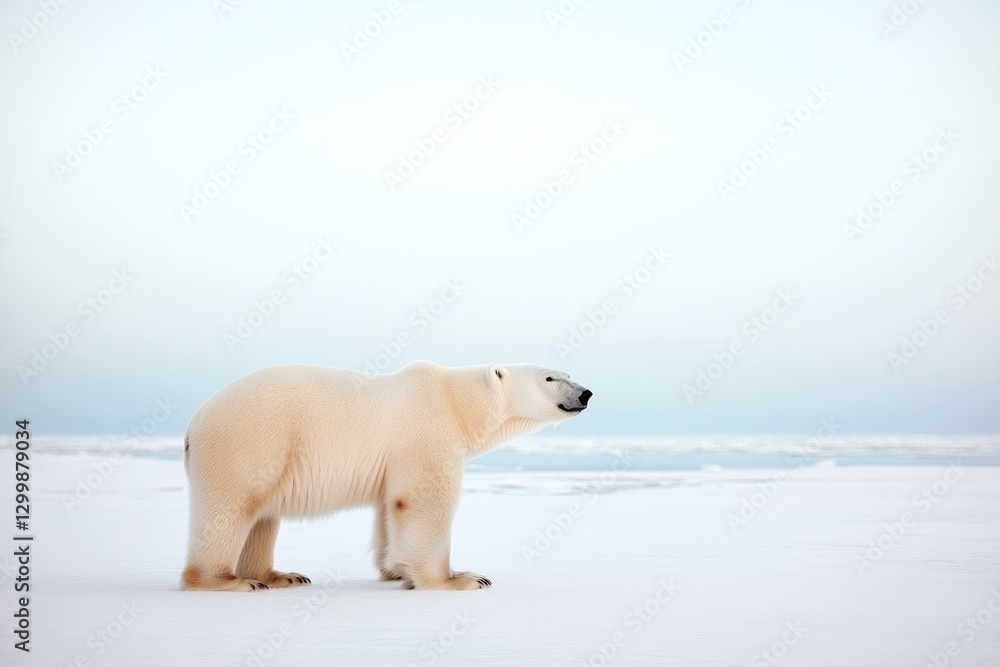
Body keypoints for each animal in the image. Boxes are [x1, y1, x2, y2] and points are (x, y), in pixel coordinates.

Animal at [181, 361, 592, 592]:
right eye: (549, 378)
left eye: (568, 374)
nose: (586, 393)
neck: (454, 401)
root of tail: (192, 425)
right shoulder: (426, 430)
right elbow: (423, 500)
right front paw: (460, 578)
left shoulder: (393, 459)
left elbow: (388, 507)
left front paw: (396, 571)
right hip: (252, 442)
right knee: (232, 509)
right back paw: (229, 581)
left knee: (263, 518)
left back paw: (280, 576)